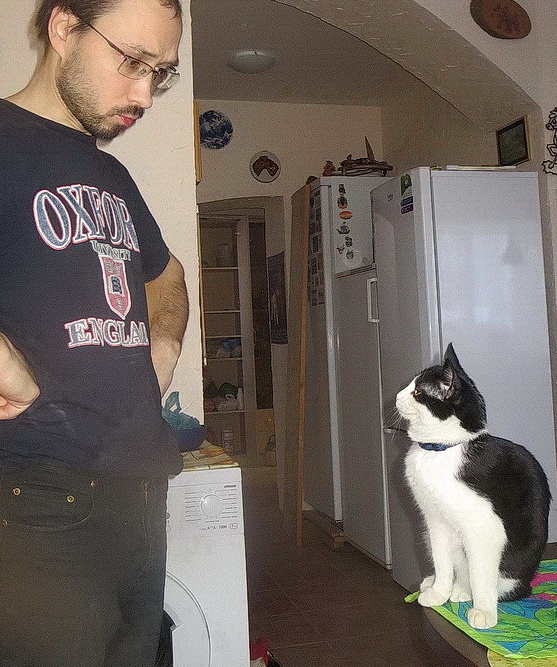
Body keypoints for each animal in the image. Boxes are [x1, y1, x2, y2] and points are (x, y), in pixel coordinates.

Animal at [396, 343, 551, 629]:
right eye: (411, 387)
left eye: (418, 392)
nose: (397, 395)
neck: (441, 450)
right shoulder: (435, 520)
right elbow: (441, 560)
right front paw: (439, 592)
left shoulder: (485, 526)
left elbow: (481, 575)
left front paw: (484, 612)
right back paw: (449, 586)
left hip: (512, 569)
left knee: (499, 582)